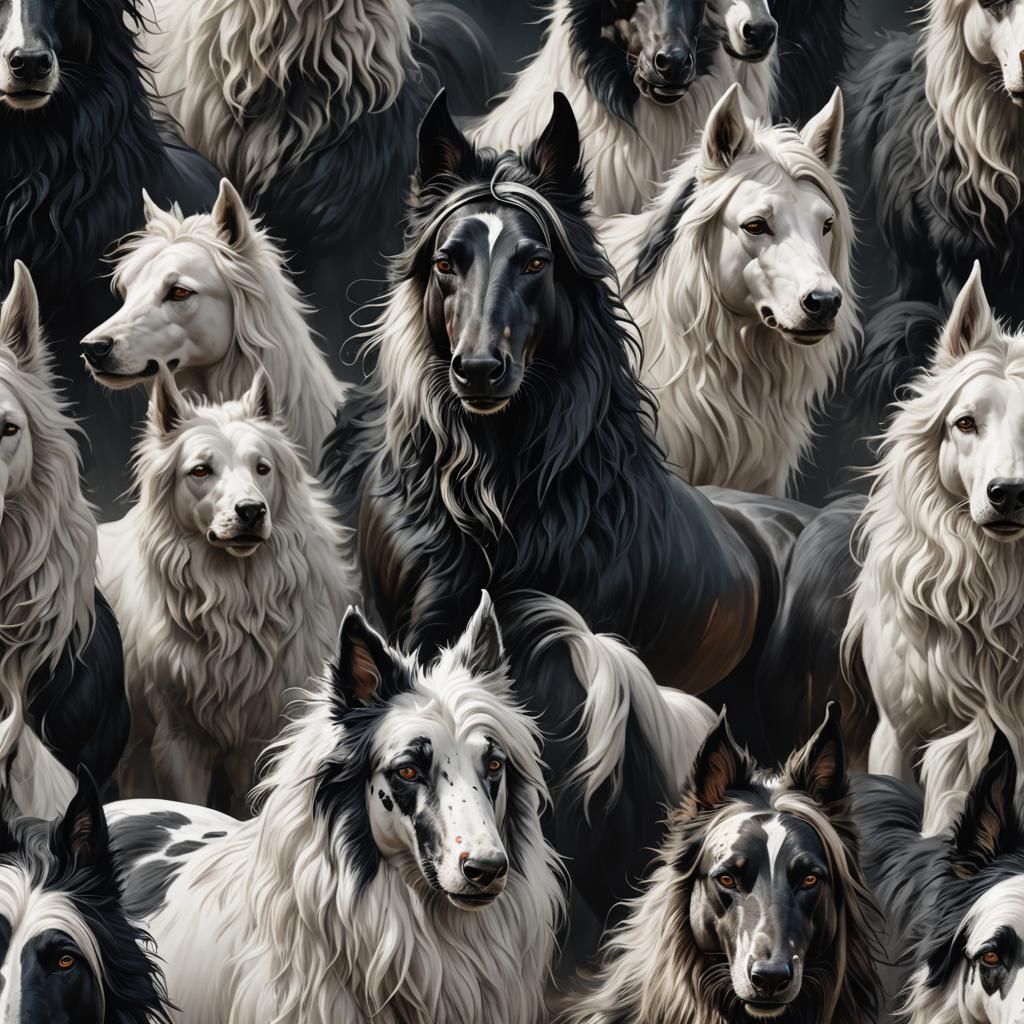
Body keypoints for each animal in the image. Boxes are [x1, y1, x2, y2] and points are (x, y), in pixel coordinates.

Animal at [101, 370, 356, 812]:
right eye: (201, 470)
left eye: (262, 468)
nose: (251, 511)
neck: (237, 604)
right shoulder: (178, 742)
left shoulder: (264, 736)